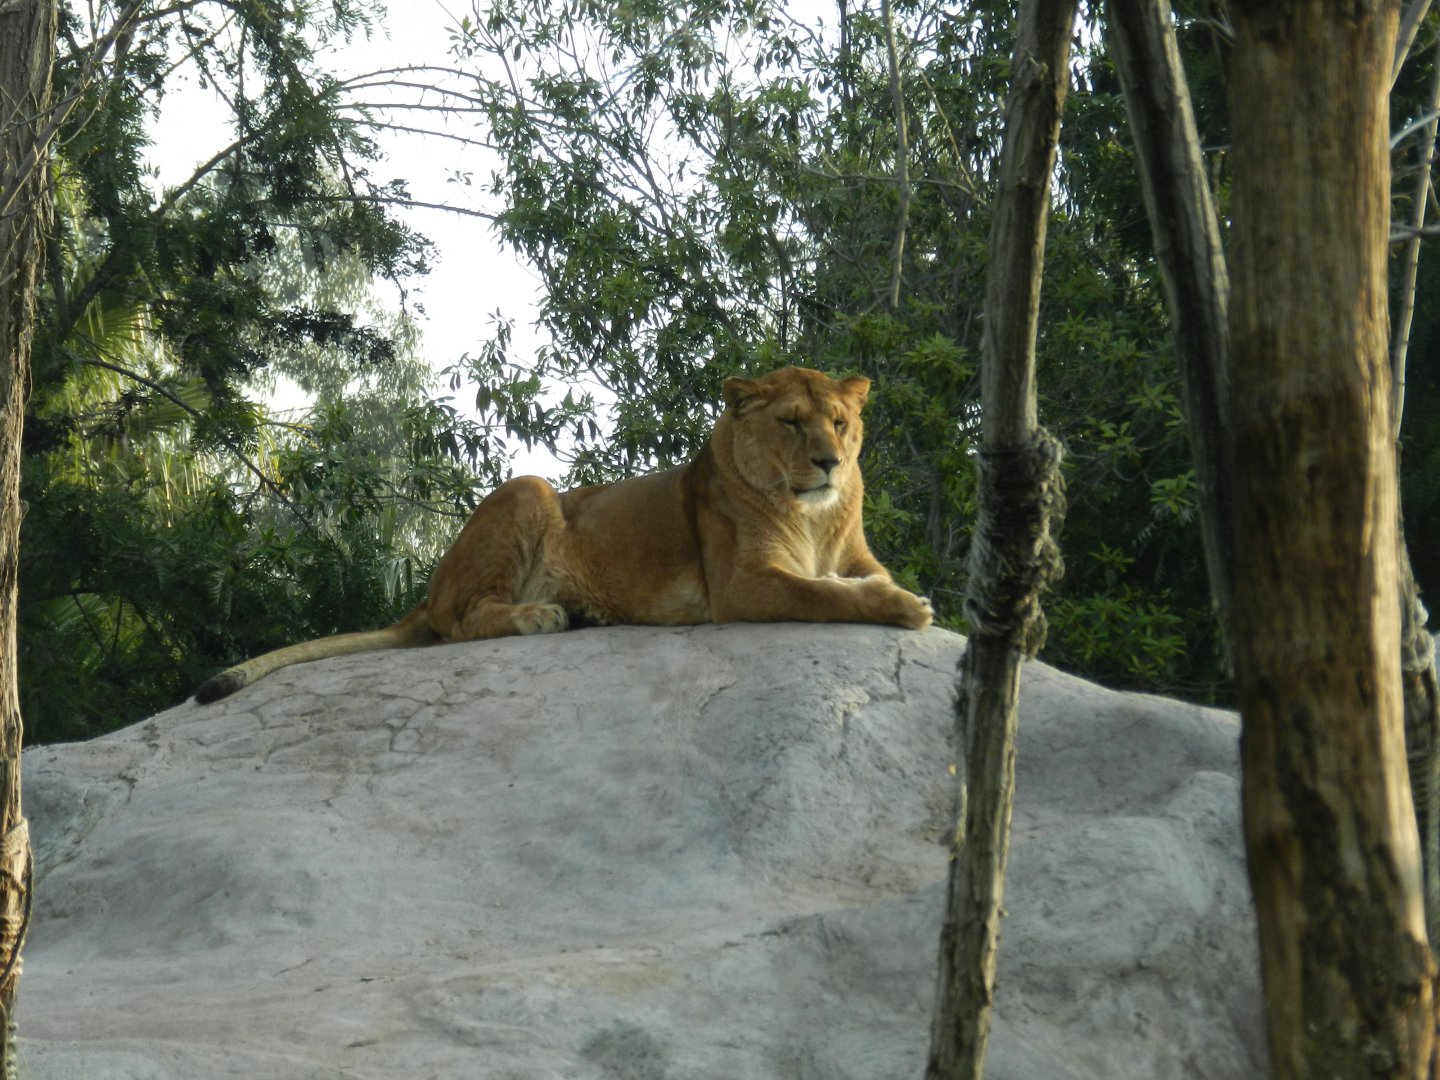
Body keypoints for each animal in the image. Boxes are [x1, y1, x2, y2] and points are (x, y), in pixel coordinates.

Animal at [194, 366, 932, 703]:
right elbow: (825, 594)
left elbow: (853, 579)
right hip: (529, 488)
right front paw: (904, 607)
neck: (815, 513)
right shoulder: (741, 587)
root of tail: (426, 587)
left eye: (840, 422)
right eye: (791, 422)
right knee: (460, 621)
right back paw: (543, 614)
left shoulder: (853, 556)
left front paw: (897, 595)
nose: (829, 462)